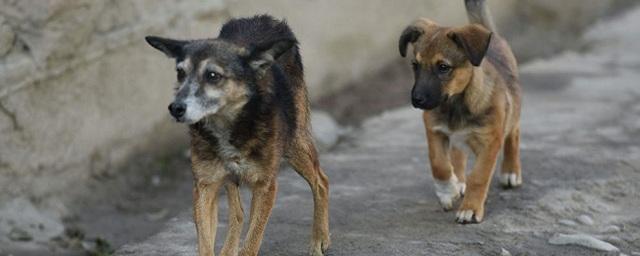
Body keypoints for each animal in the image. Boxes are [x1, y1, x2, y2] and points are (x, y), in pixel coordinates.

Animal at [144, 15, 330, 255]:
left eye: (213, 75)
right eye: (180, 73)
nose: (175, 108)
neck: (228, 128)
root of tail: (265, 19)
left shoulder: (265, 186)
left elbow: (251, 243)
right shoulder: (205, 185)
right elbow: (206, 242)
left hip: (294, 144)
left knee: (321, 182)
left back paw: (319, 240)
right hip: (231, 179)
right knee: (238, 212)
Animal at [398, 0, 524, 223]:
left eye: (443, 67)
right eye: (415, 65)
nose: (416, 99)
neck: (455, 105)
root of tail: (490, 33)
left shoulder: (490, 142)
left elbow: (479, 177)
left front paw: (470, 209)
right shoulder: (434, 131)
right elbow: (439, 164)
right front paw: (448, 190)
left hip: (513, 111)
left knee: (514, 134)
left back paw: (511, 171)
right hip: (457, 139)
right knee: (457, 155)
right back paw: (458, 181)